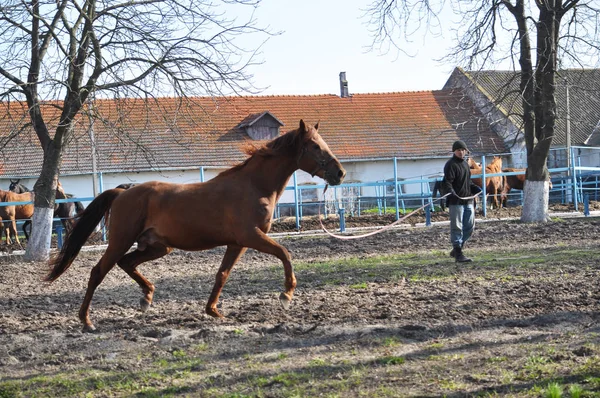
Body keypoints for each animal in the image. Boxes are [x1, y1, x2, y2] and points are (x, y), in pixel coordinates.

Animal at [45, 119, 346, 332]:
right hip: (121, 240)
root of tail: (121, 192)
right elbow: (285, 253)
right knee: (98, 271)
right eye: (316, 146)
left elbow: (222, 274)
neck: (254, 186)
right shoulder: (251, 236)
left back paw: (146, 298)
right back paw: (86, 321)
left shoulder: (237, 243)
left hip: (158, 247)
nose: (340, 173)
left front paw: (213, 311)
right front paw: (286, 295)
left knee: (127, 263)